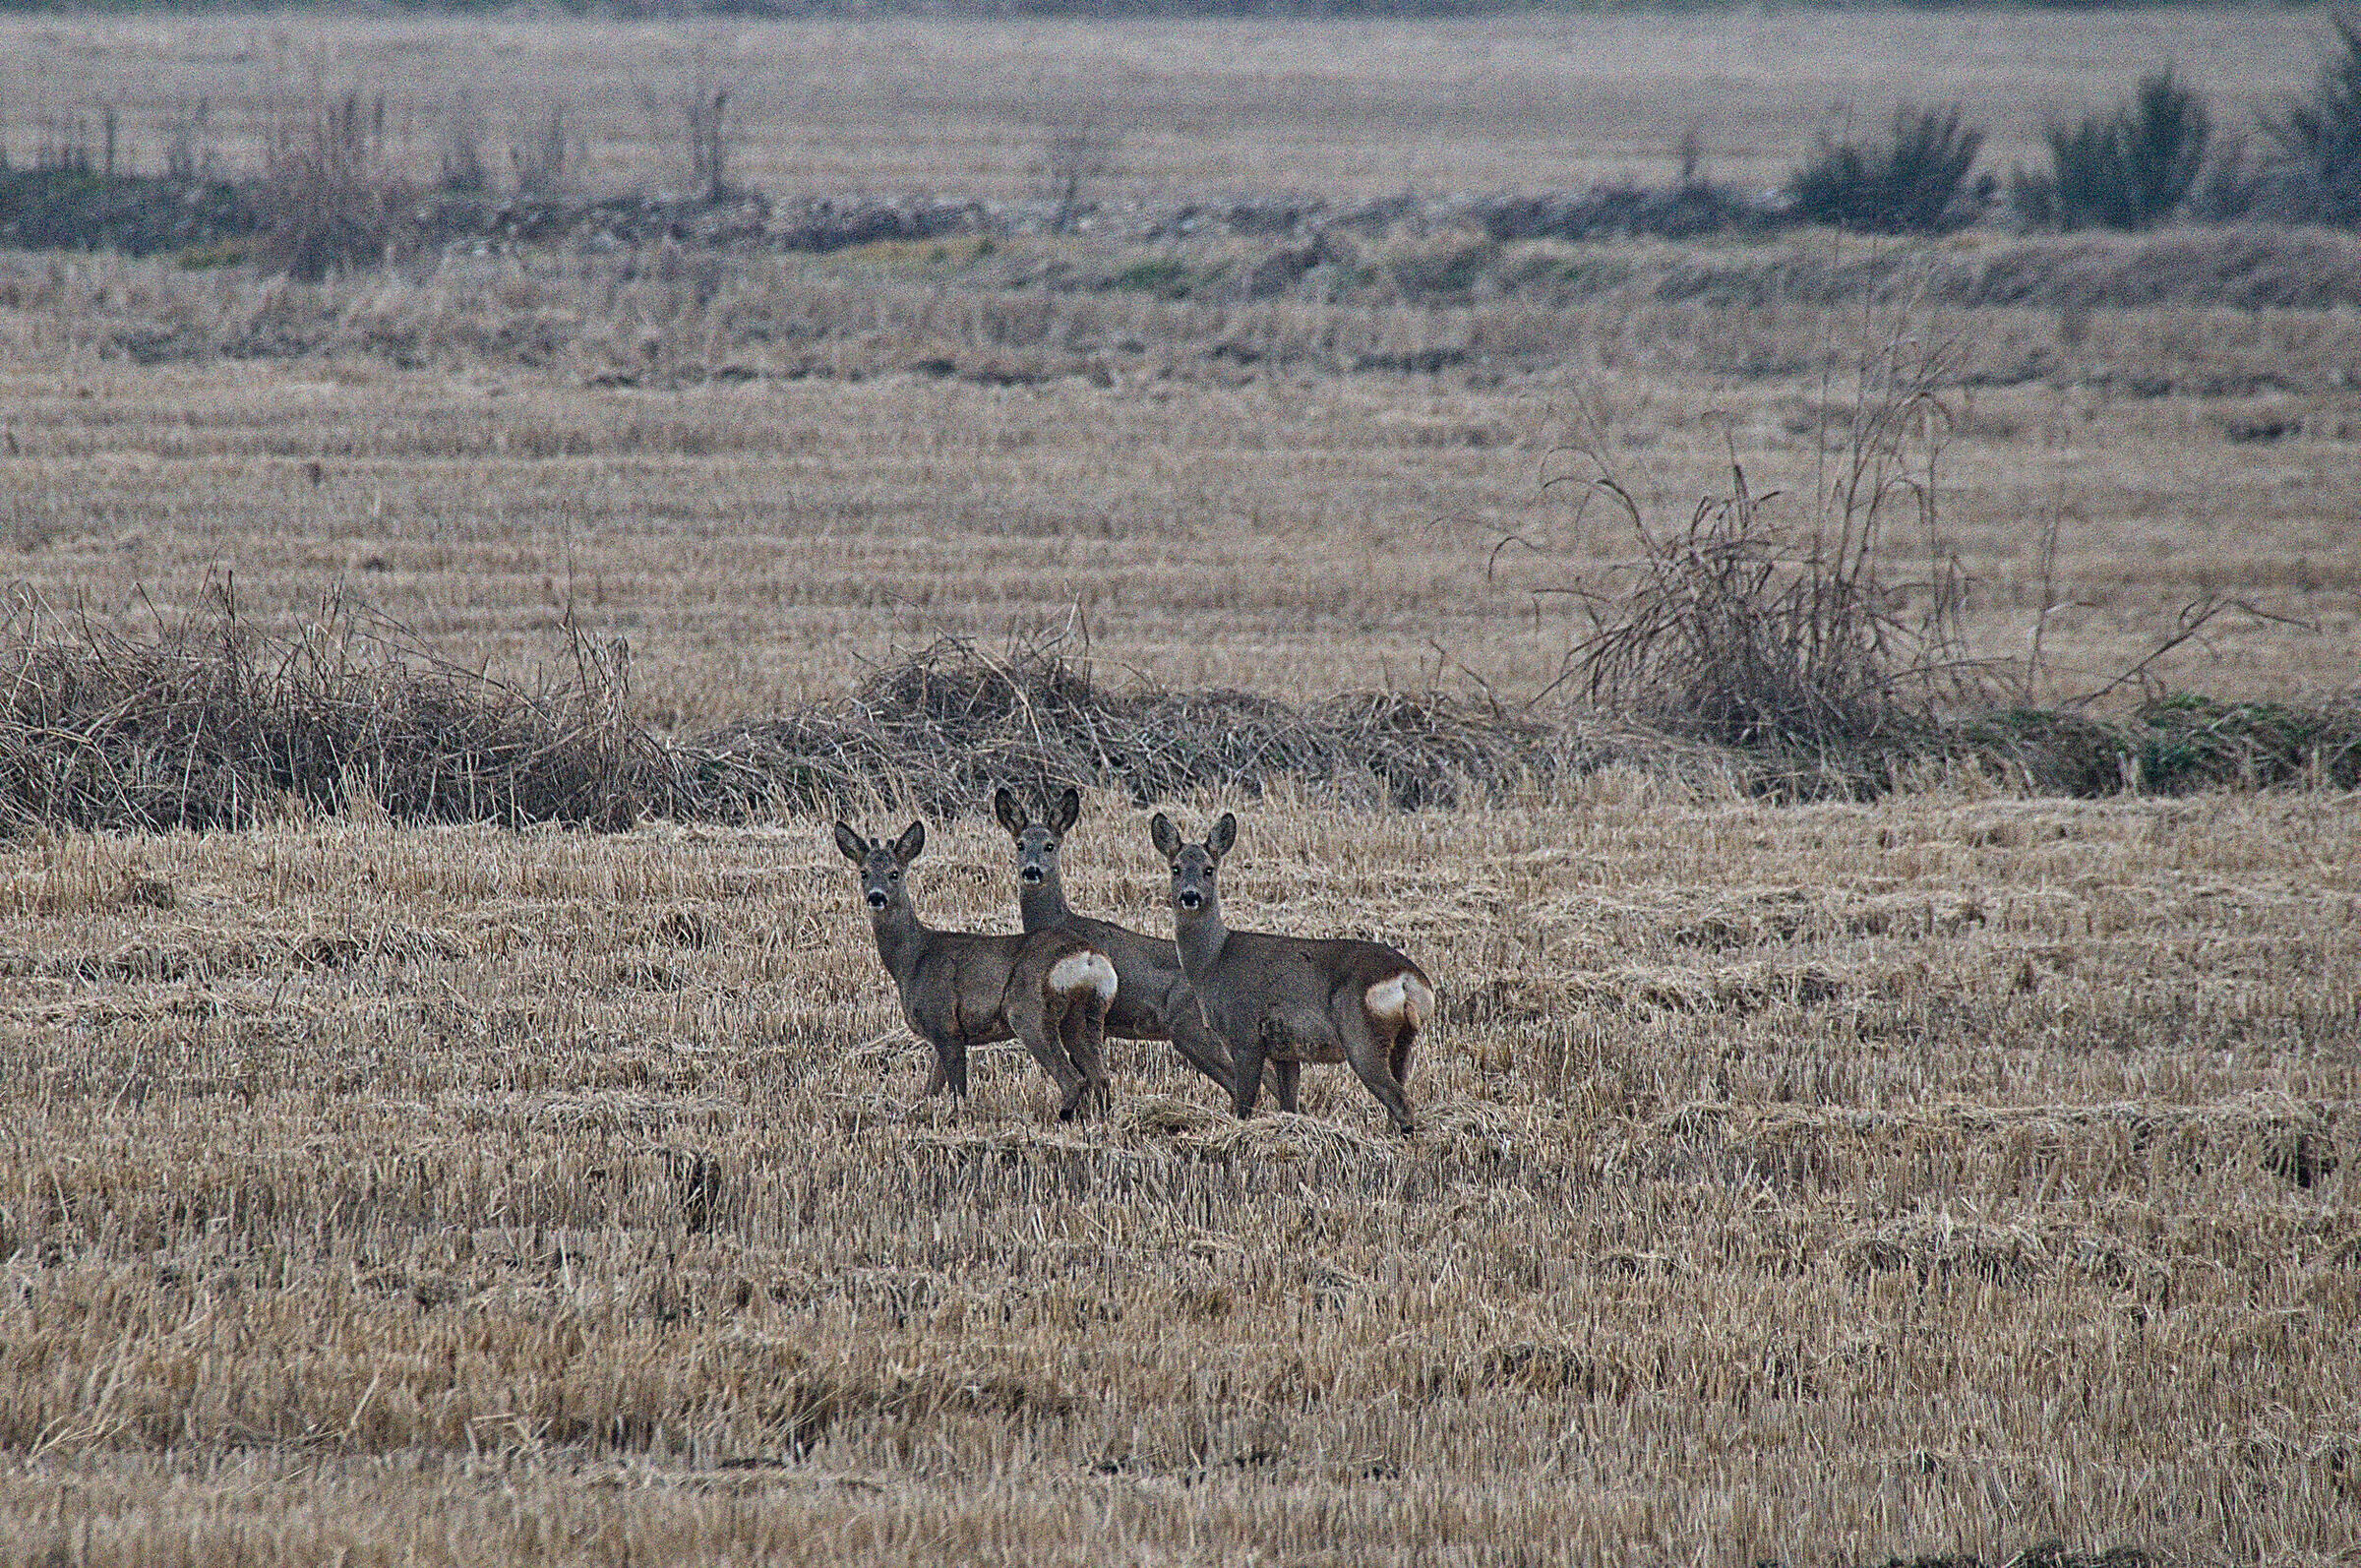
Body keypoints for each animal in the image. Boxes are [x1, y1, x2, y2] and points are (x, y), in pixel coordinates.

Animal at [834, 820, 1116, 1120]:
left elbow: (958, 1092)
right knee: (1101, 1077)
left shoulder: (945, 1024)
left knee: (1074, 1079)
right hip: (1087, 1015)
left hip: (1029, 1012)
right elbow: (929, 1090)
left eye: (894, 873)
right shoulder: (941, 1033)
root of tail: (1088, 957)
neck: (912, 960)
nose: (876, 897)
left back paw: (1061, 1118)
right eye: (864, 873)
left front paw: (955, 1120)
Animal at [1149, 811, 1434, 1136]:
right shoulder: (1285, 1050)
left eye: (1209, 870)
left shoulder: (1245, 1033)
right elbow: (1289, 1104)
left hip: (1361, 1033)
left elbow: (1245, 1104)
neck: (1214, 962)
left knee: (1400, 1100)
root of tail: (1407, 979)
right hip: (1404, 1039)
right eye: (1176, 868)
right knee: (1398, 1097)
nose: (1190, 896)